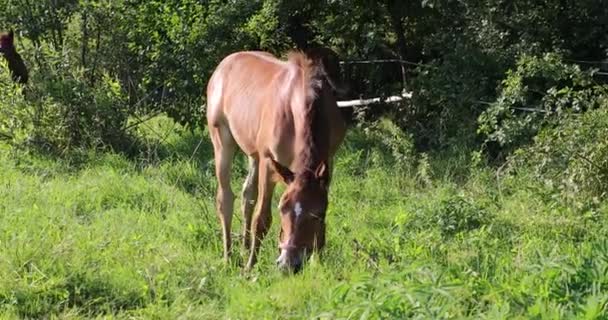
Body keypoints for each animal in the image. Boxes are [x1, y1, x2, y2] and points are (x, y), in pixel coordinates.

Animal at [205, 50, 344, 272]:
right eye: (282, 208)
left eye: (318, 214)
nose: (288, 264)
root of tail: (224, 65)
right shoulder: (268, 164)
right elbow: (262, 219)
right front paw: (250, 268)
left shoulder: (328, 163)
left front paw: (317, 263)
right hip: (223, 143)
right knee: (225, 198)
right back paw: (229, 257)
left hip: (253, 155)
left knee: (247, 196)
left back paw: (244, 248)